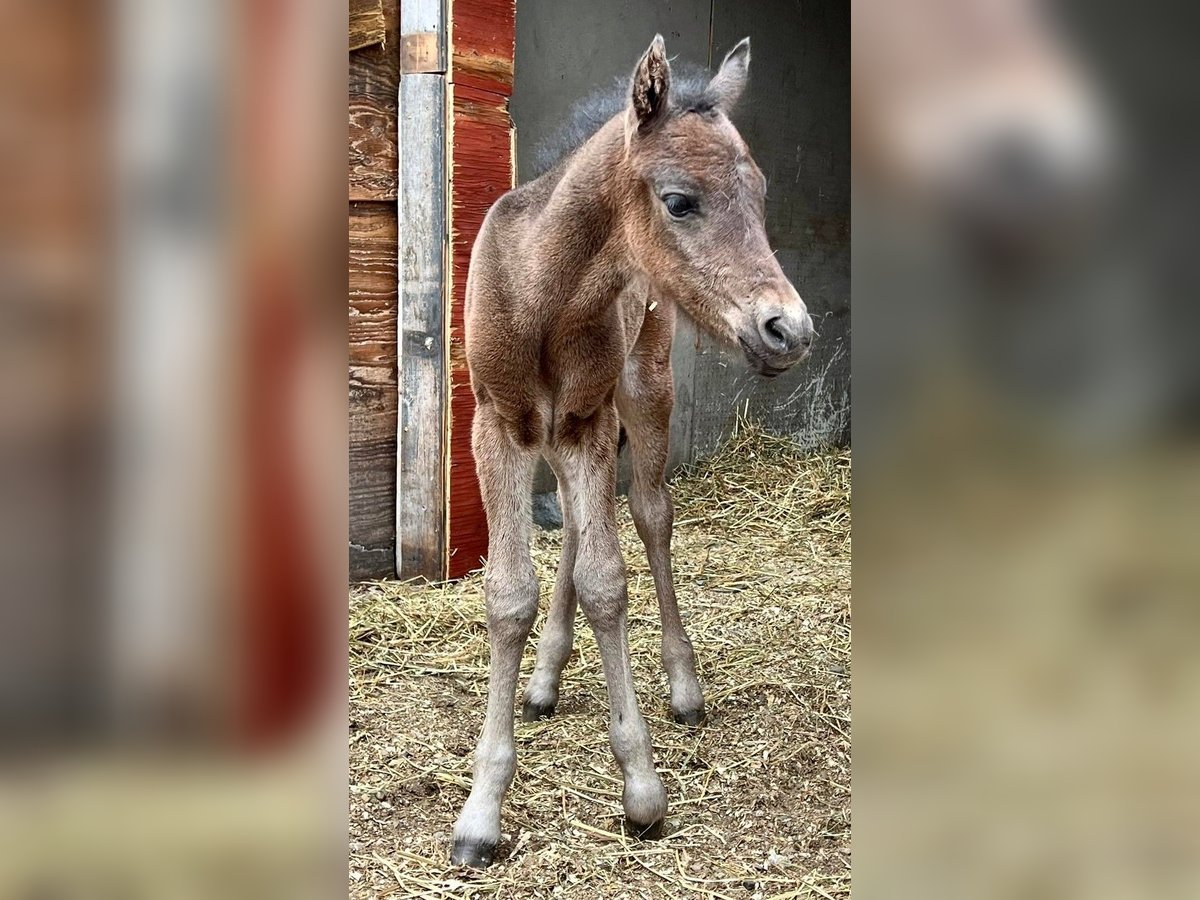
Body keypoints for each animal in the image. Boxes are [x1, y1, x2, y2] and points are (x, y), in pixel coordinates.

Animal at [451, 33, 816, 868]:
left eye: (761, 192)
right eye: (680, 200)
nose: (790, 329)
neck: (542, 295)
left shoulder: (586, 420)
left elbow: (608, 584)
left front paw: (641, 785)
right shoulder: (500, 425)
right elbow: (510, 594)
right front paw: (481, 811)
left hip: (644, 391)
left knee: (649, 514)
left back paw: (683, 687)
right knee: (580, 524)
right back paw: (545, 678)